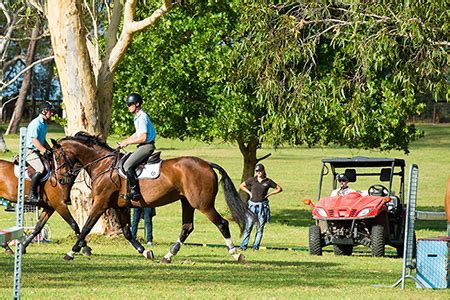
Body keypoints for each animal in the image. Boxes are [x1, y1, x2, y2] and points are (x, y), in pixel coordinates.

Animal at [52, 133, 250, 262]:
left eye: (57, 156)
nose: (60, 179)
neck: (103, 165)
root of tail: (208, 164)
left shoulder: (101, 203)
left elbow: (86, 227)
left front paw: (72, 252)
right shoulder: (119, 205)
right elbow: (127, 232)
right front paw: (145, 252)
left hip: (202, 203)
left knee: (222, 223)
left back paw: (236, 253)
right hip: (187, 202)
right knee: (187, 227)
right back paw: (168, 255)